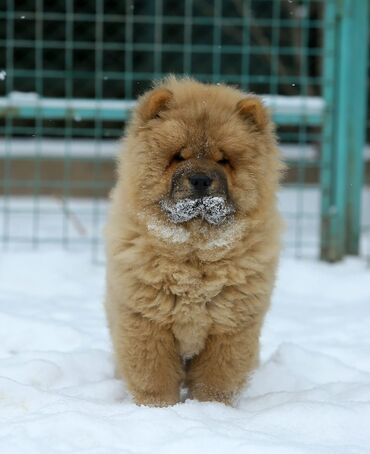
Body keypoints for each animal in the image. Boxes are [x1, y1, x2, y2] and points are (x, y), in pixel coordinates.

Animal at [104, 76, 284, 406]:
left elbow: (216, 381)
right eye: (178, 156)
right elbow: (154, 377)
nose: (200, 179)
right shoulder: (146, 322)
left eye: (224, 160)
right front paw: (158, 409)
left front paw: (210, 409)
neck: (195, 253)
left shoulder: (230, 328)